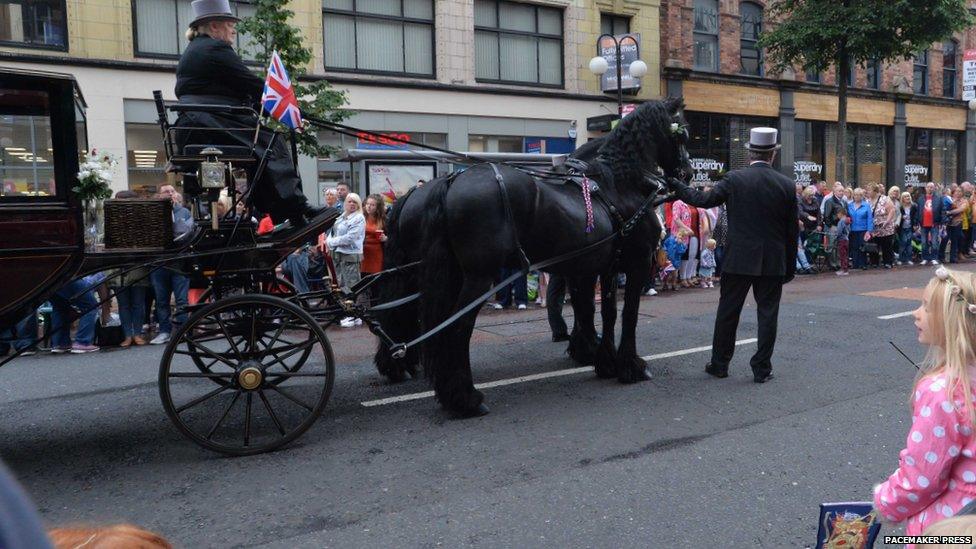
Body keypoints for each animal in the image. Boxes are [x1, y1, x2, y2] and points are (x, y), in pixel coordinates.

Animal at [378, 98, 692, 416]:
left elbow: (601, 311)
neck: (620, 184)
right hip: (478, 276)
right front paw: (630, 365)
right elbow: (627, 314)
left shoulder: (599, 266)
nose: (688, 173)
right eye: (682, 133)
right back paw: (465, 398)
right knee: (456, 327)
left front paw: (602, 359)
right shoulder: (636, 263)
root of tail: (449, 183)